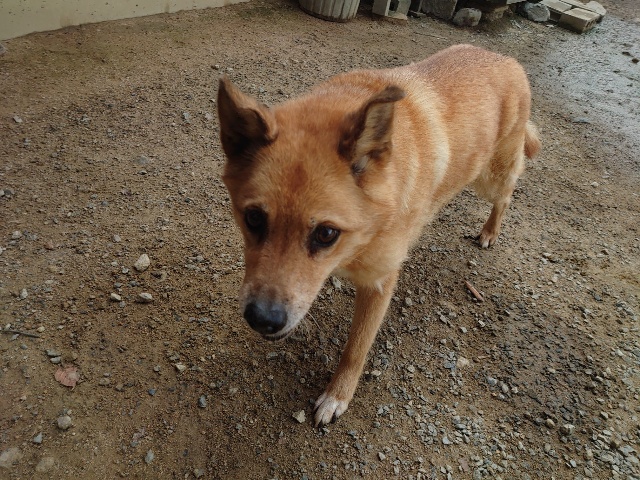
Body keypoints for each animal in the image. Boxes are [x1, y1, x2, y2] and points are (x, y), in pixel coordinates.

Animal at [217, 44, 540, 426]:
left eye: (326, 233)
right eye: (253, 218)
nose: (262, 320)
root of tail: (504, 58)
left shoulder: (379, 284)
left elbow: (356, 348)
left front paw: (338, 396)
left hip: (489, 178)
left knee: (507, 193)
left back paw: (490, 231)